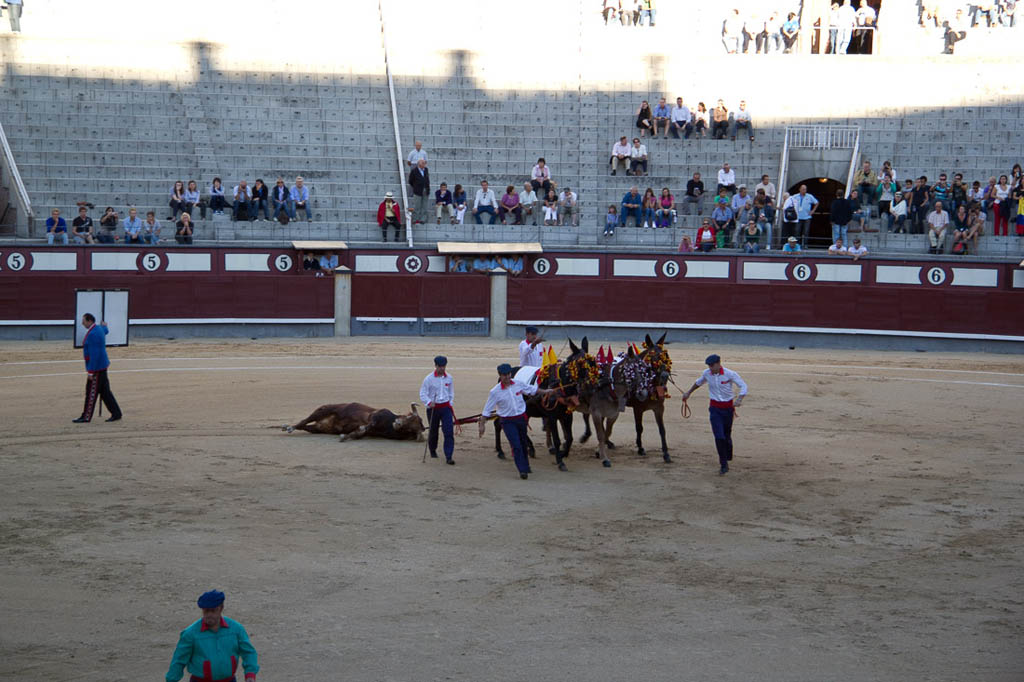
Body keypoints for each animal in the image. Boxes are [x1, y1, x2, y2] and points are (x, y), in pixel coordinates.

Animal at [284, 399, 423, 440]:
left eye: (412, 428)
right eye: (409, 416)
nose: (398, 424)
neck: (389, 424)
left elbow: (359, 433)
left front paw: (344, 436)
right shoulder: (376, 415)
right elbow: (368, 424)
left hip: (319, 428)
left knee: (306, 426)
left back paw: (286, 427)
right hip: (324, 409)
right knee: (304, 420)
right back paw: (289, 427)